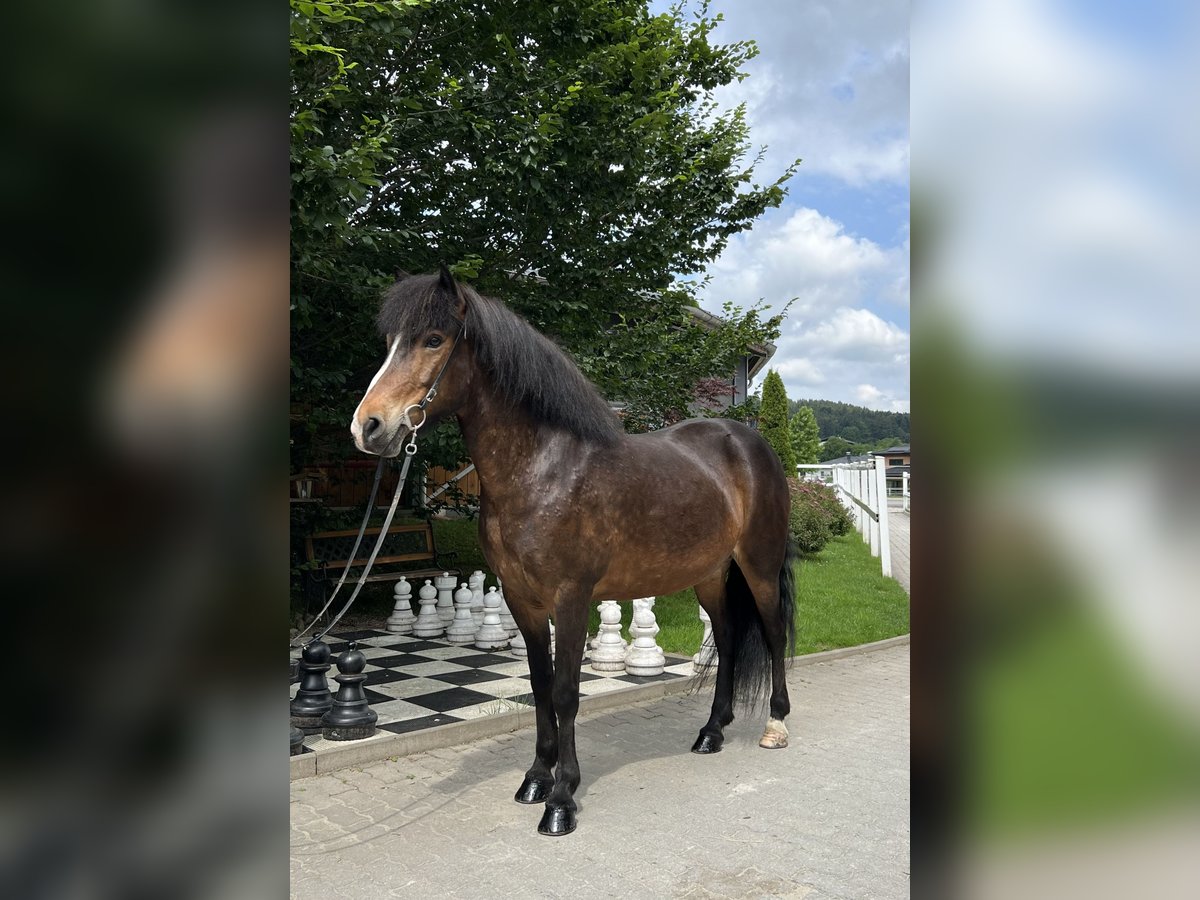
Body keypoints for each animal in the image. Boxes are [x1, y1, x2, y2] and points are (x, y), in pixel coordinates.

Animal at [348, 267, 796, 840]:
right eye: (389, 342)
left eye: (433, 339)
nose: (368, 427)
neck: (545, 469)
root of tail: (748, 441)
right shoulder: (522, 599)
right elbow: (540, 686)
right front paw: (536, 779)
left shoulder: (572, 596)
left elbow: (565, 692)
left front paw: (561, 799)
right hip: (711, 575)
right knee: (728, 639)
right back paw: (711, 732)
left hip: (758, 566)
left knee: (774, 632)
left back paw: (775, 725)